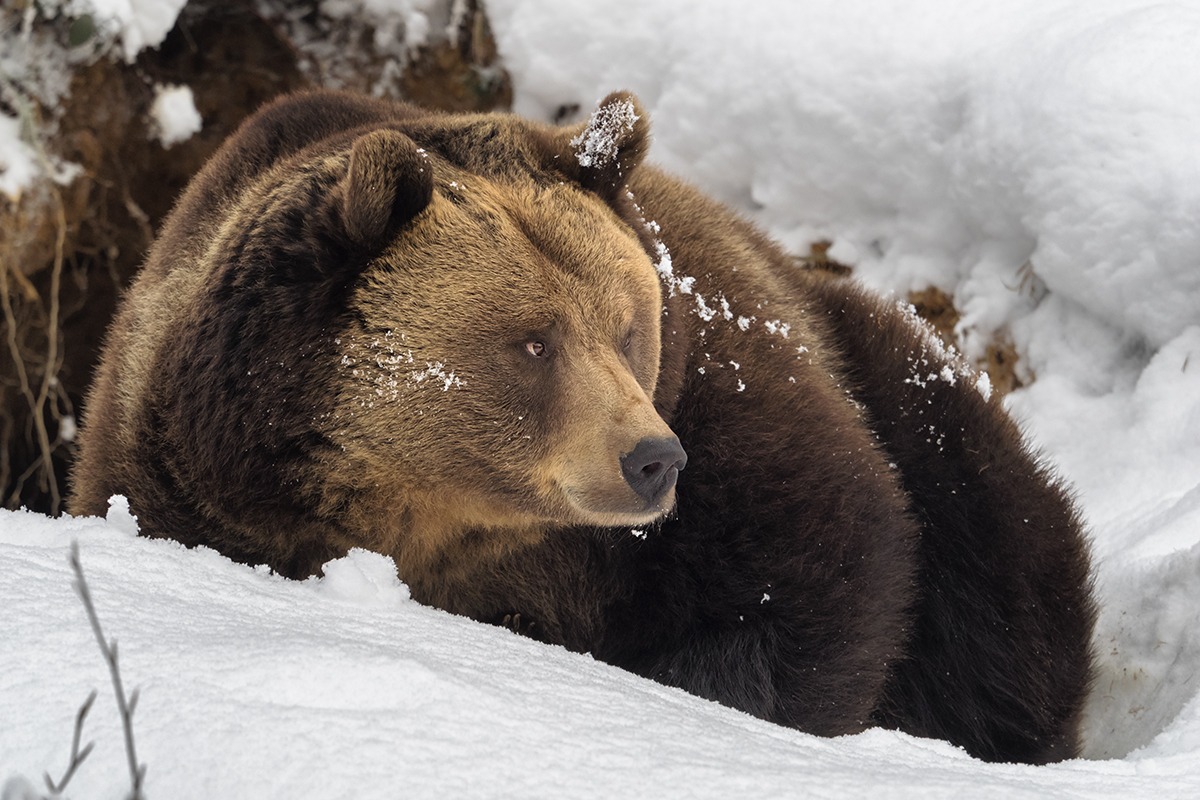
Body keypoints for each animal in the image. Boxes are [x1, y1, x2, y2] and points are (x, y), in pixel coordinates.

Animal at [70, 89, 1095, 764]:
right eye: (532, 341)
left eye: (629, 324)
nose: (652, 460)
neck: (443, 526)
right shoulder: (190, 484)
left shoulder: (722, 380)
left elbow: (822, 560)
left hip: (898, 390)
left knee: (999, 565)